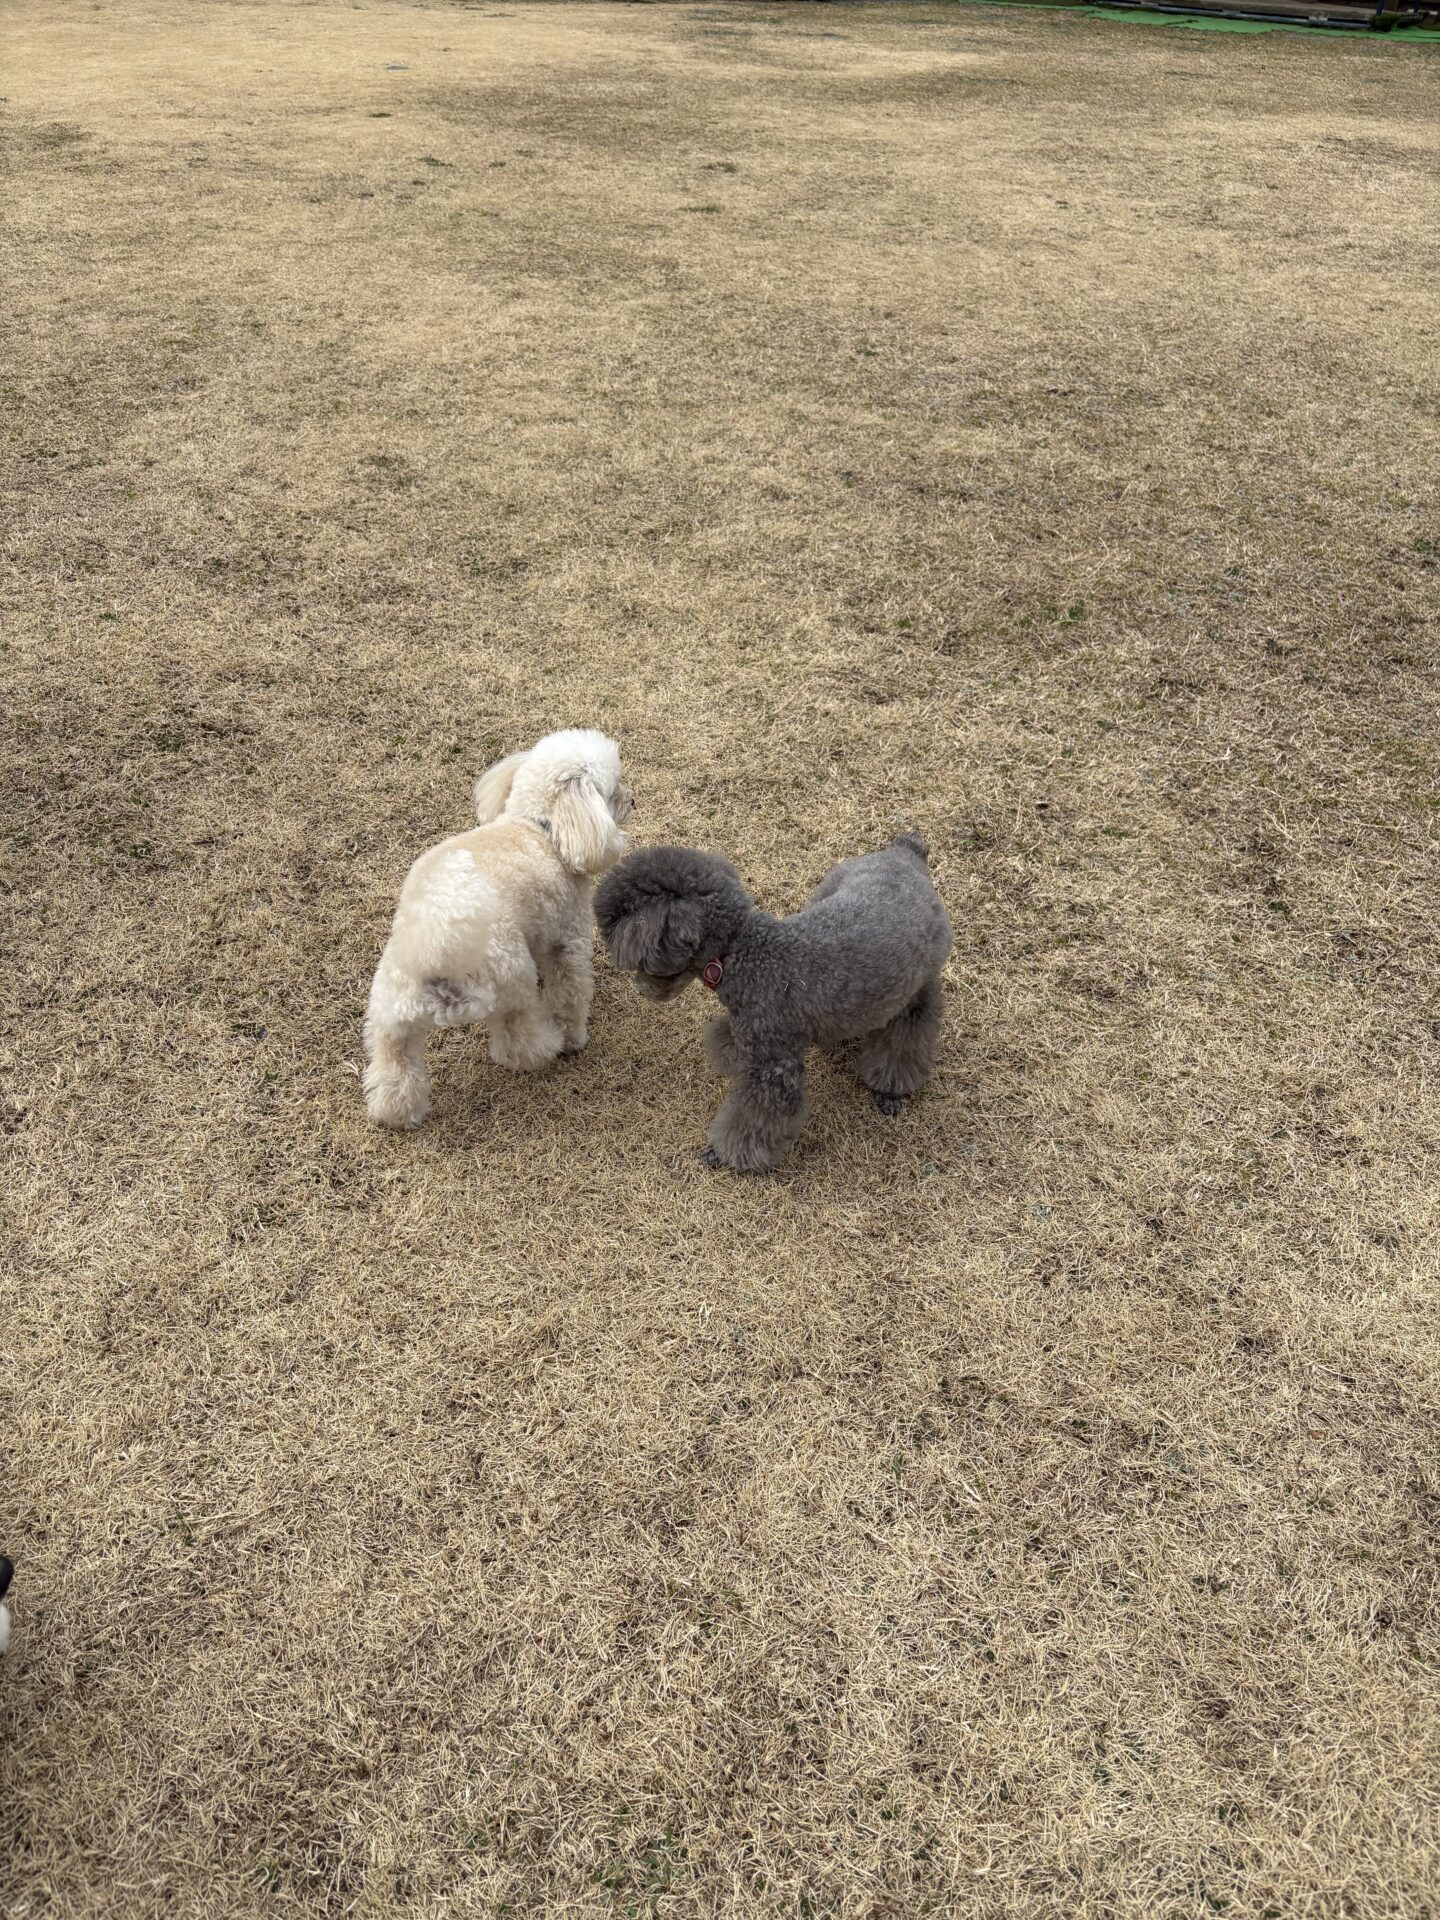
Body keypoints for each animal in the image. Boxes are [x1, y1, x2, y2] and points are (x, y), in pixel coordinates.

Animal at [364, 729, 633, 1129]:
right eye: (612, 789)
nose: (633, 799)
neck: (540, 826)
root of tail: (437, 946)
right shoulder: (568, 940)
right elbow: (570, 994)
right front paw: (574, 1037)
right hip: (511, 984)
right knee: (516, 1043)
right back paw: (550, 1042)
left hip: (392, 1010)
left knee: (394, 1068)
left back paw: (398, 1112)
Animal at [595, 833, 951, 1172]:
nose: (641, 990)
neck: (742, 950)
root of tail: (905, 851)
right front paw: (729, 1052)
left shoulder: (772, 1069)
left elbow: (756, 1119)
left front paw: (726, 1154)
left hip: (917, 988)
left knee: (908, 1033)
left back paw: (890, 1087)